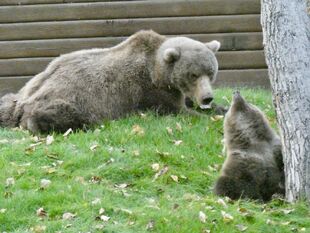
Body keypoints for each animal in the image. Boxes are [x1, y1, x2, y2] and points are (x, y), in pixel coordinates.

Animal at [1, 30, 222, 134]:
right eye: (193, 75)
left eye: (210, 72)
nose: (207, 97)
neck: (158, 72)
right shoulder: (149, 92)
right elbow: (178, 110)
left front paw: (219, 108)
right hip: (66, 99)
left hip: (24, 90)